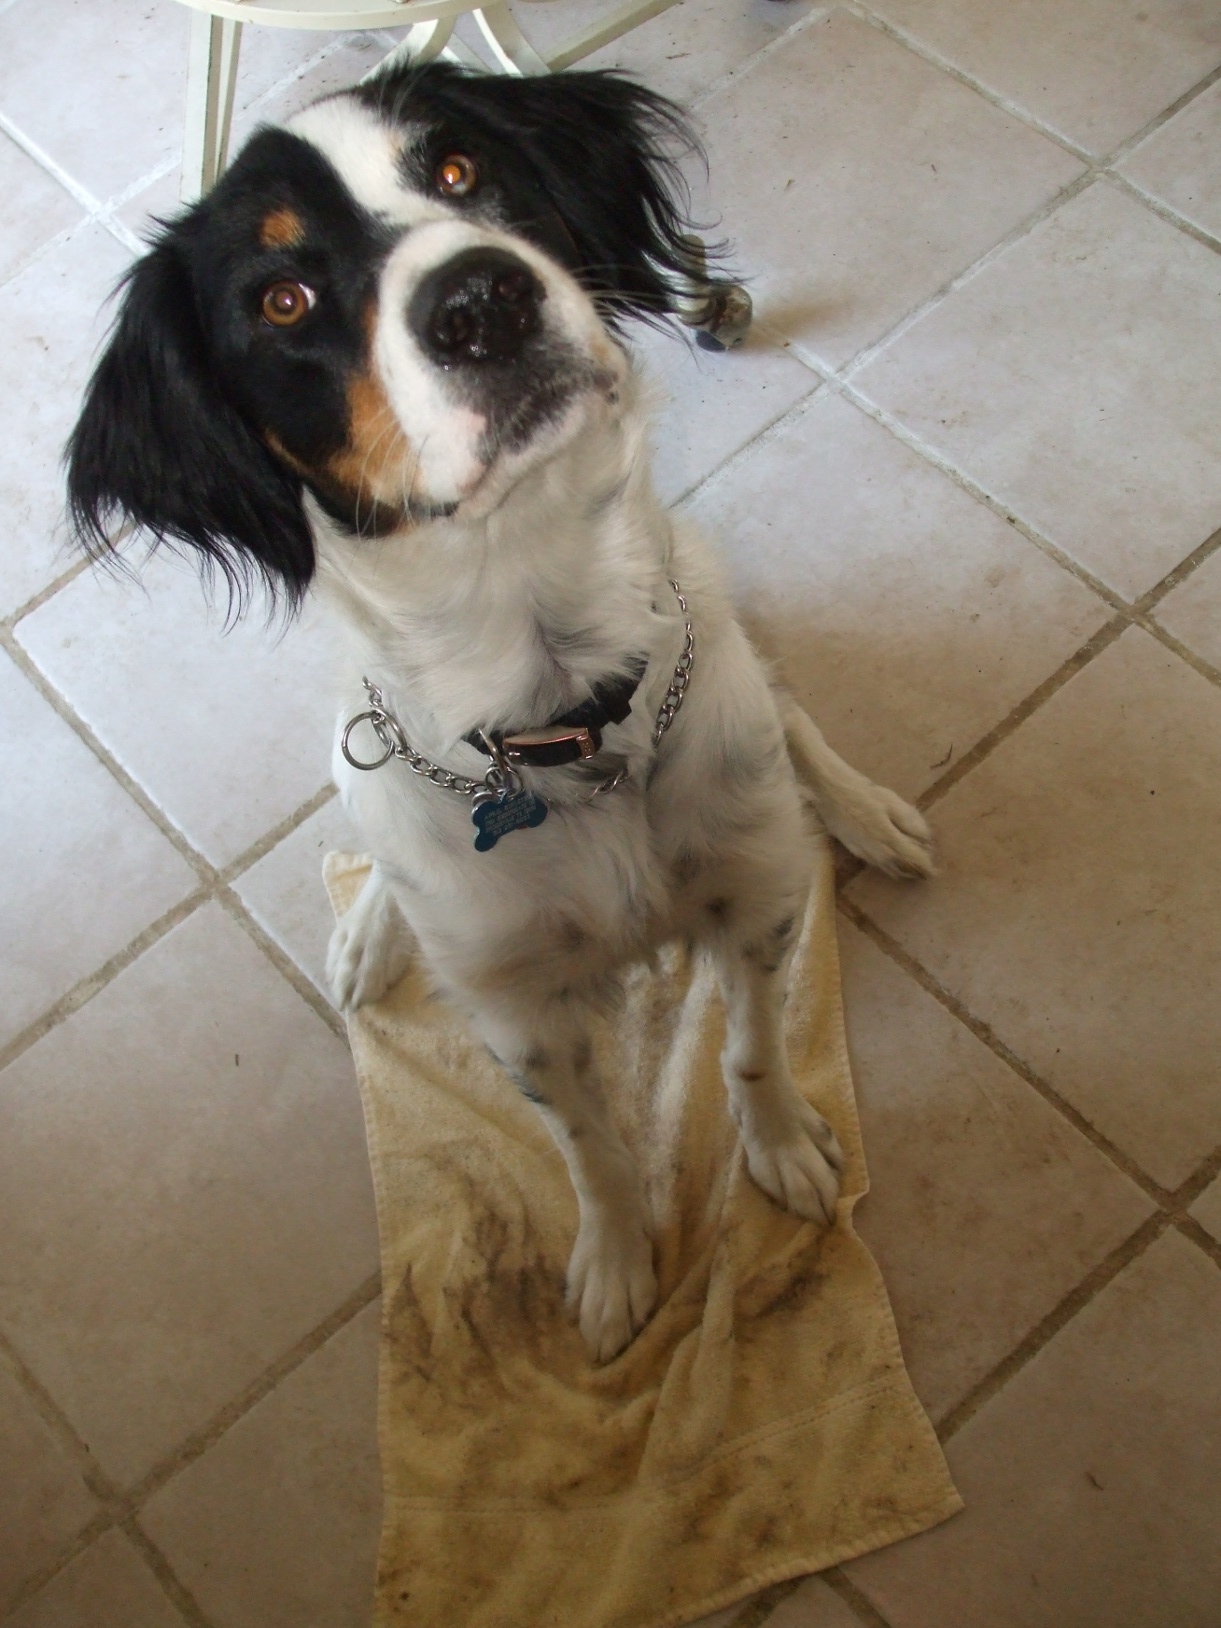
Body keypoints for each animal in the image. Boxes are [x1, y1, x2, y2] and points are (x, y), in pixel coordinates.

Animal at [69, 60, 937, 1361]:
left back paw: (864, 809)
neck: (559, 707)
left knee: (790, 716)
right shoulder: (521, 1010)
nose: (480, 300)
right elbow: (590, 1147)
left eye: (459, 168)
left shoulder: (751, 902)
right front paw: (618, 1261)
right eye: (282, 298)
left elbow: (750, 1049)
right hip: (351, 759)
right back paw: (373, 936)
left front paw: (781, 1148)